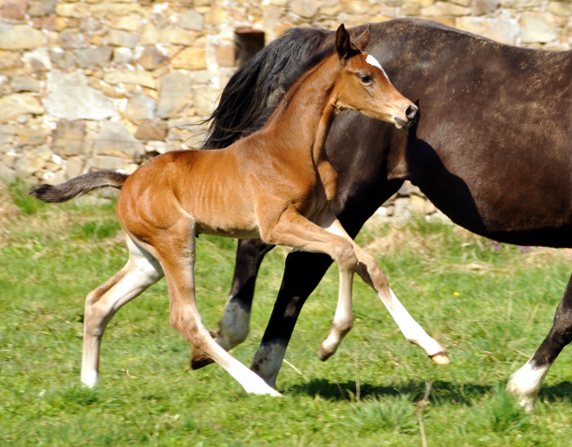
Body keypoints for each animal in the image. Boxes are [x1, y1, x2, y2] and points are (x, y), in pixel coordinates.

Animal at [32, 25, 442, 396]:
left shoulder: (322, 217)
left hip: (146, 259)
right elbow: (343, 254)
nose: (409, 110)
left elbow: (367, 262)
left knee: (99, 301)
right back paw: (257, 386)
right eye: (366, 77)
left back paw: (89, 383)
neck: (295, 147)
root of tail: (128, 180)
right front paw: (331, 342)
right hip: (176, 242)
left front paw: (431, 346)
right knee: (185, 319)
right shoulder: (276, 225)